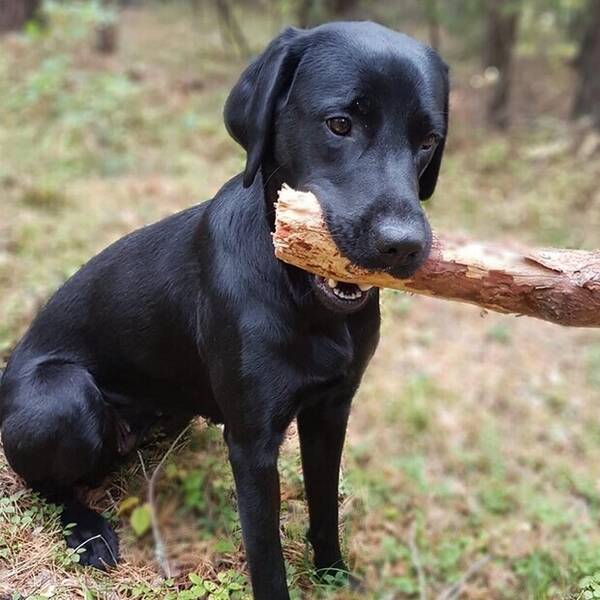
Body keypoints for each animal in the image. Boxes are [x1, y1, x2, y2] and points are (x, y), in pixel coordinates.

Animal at [0, 22, 448, 600]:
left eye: (428, 141)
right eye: (339, 124)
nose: (403, 247)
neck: (303, 299)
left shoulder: (332, 409)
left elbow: (325, 506)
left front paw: (331, 573)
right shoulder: (252, 444)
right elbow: (266, 557)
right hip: (61, 399)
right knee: (44, 482)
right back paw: (87, 529)